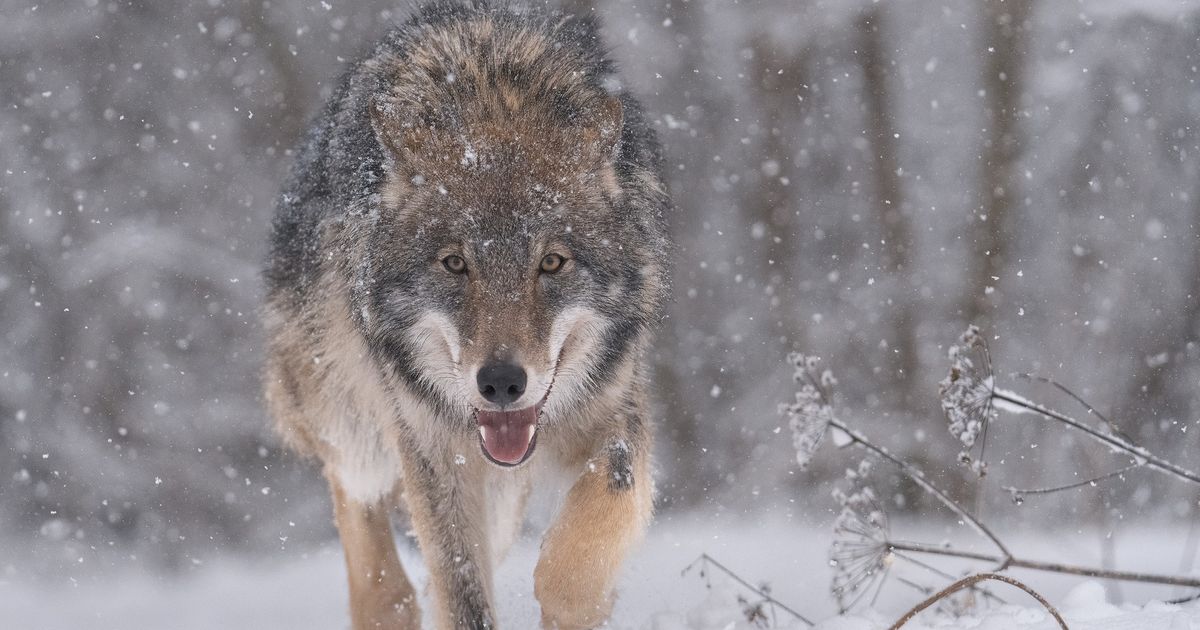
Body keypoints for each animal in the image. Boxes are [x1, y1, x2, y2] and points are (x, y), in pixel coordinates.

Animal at [261, 2, 672, 624]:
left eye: (552, 263)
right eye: (455, 264)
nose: (501, 383)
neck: (493, 97)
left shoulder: (618, 407)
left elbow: (595, 527)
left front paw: (578, 604)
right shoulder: (432, 448)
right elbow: (462, 594)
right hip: (348, 415)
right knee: (358, 500)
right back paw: (386, 606)